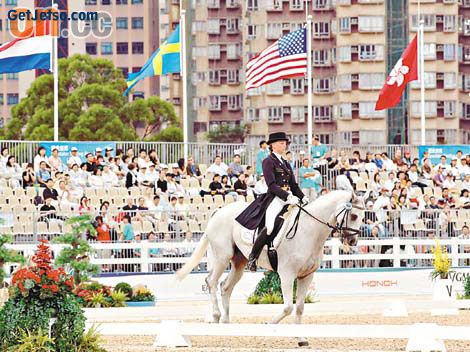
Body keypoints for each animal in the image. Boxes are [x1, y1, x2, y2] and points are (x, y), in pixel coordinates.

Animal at [176, 190, 364, 346]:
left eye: (362, 216)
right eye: (354, 215)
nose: (353, 241)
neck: (309, 231)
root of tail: (218, 211)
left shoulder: (306, 276)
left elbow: (300, 308)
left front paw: (301, 338)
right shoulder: (287, 274)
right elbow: (288, 307)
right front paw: (267, 325)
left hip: (239, 261)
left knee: (225, 286)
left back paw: (226, 322)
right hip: (222, 256)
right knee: (211, 281)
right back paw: (215, 316)